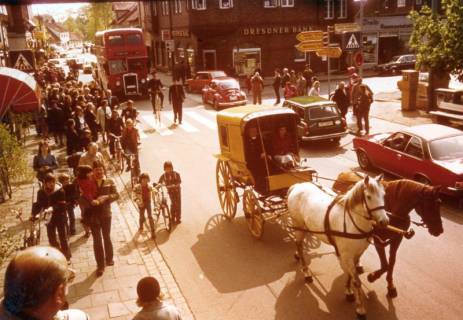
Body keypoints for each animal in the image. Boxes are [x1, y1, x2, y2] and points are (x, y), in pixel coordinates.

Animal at [288, 175, 390, 320]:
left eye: (383, 195)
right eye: (369, 196)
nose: (384, 221)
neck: (352, 221)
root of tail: (297, 186)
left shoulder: (357, 254)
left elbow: (350, 275)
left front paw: (348, 290)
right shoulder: (346, 255)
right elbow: (356, 281)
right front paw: (360, 309)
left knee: (299, 244)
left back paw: (298, 257)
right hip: (298, 225)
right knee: (299, 245)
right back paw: (306, 271)